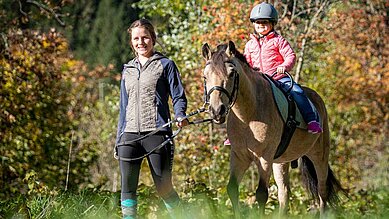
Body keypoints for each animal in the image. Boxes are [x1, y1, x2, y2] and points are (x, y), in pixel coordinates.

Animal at [200, 41, 342, 217]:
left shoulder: (264, 158)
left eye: (232, 74)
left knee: (322, 191)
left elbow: (261, 194)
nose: (217, 110)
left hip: (319, 155)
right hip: (281, 162)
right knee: (284, 193)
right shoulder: (239, 156)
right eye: (205, 76)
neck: (248, 117)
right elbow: (232, 189)